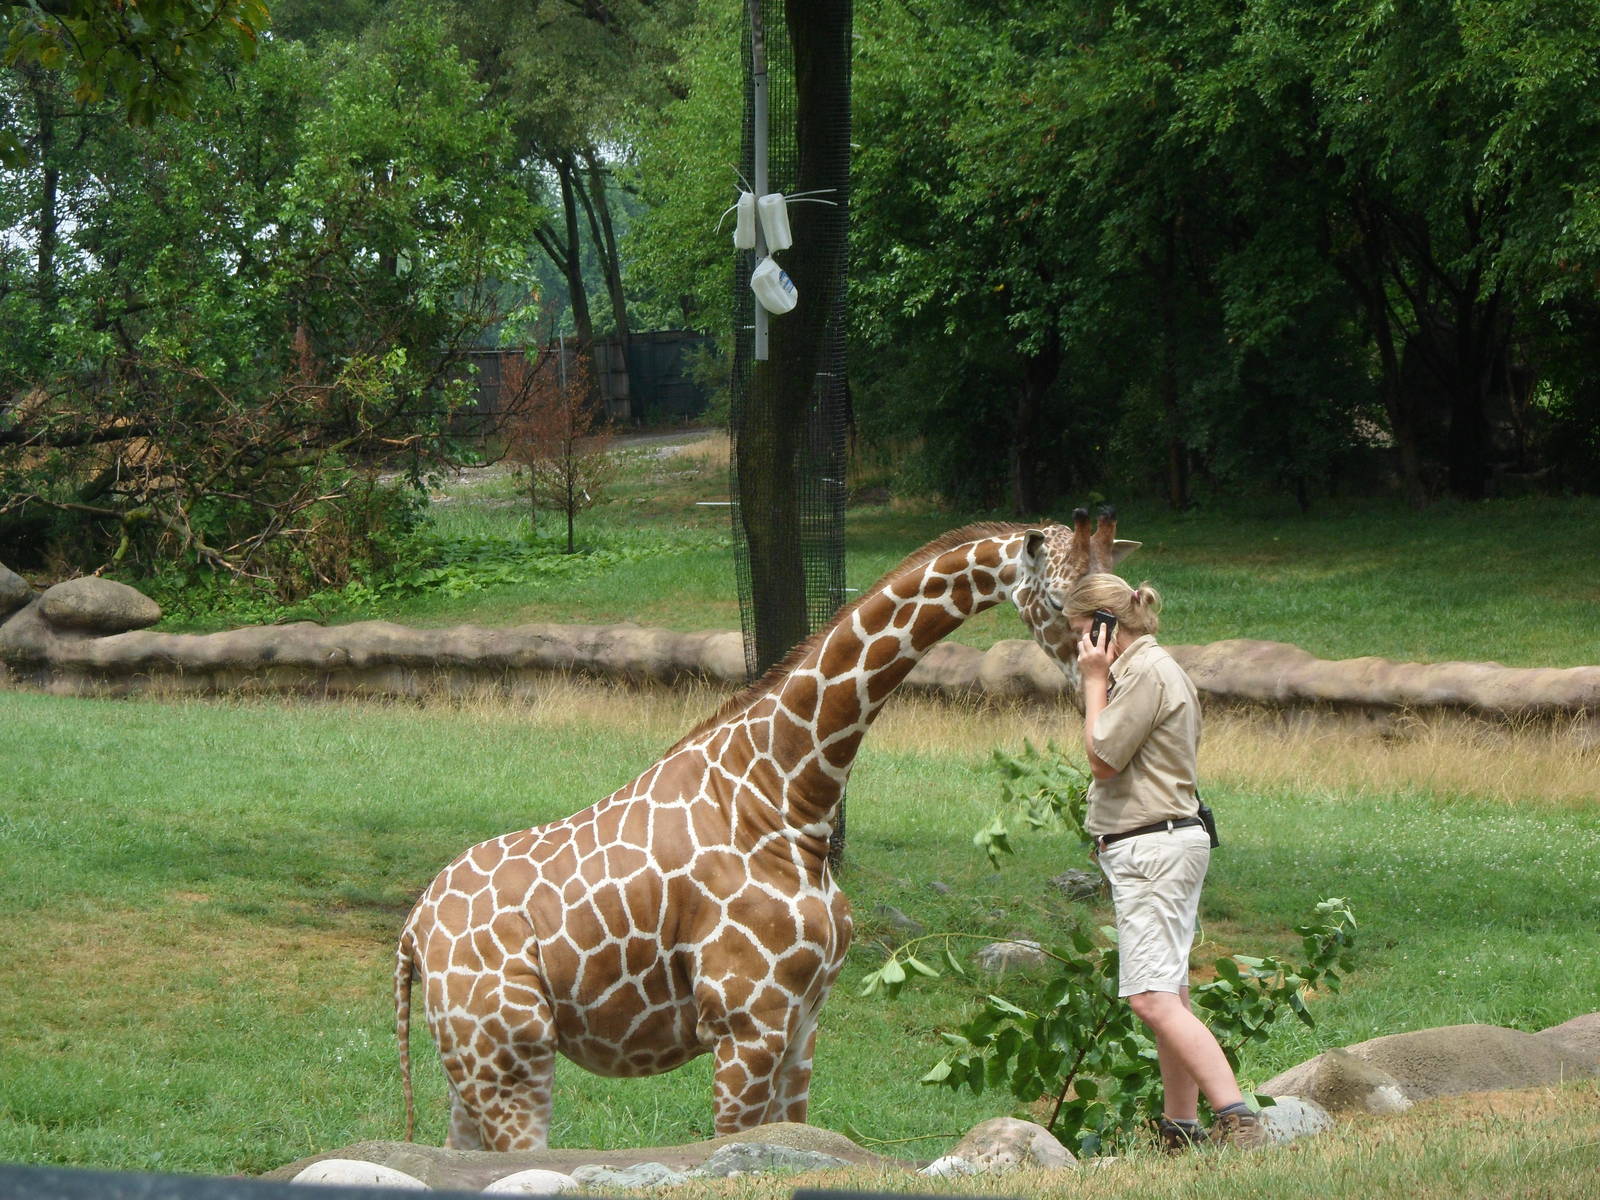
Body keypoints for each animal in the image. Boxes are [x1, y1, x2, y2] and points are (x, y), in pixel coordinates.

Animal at [394, 510, 1138, 1151]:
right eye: (1065, 601)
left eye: (1132, 596)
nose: (1115, 677)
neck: (785, 798)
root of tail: (413, 933)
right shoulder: (747, 1022)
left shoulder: (804, 1020)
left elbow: (791, 1138)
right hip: (512, 1055)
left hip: (473, 1064)